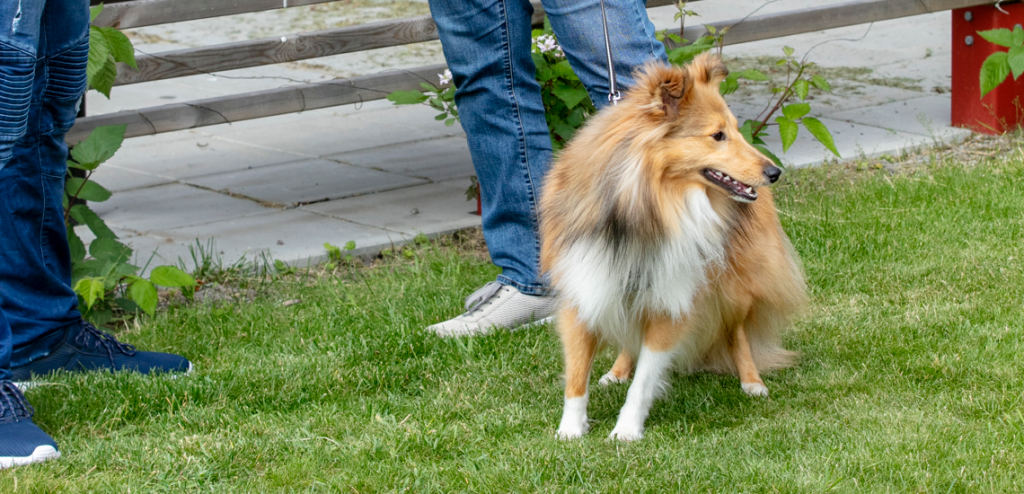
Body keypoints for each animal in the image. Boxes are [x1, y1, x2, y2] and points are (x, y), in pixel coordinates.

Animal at [536, 54, 806, 440]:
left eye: (737, 130)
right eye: (718, 135)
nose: (775, 173)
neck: (645, 210)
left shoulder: (672, 297)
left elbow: (645, 378)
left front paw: (626, 431)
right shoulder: (585, 283)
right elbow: (576, 373)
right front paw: (571, 430)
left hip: (735, 285)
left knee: (736, 331)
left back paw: (752, 382)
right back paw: (616, 372)